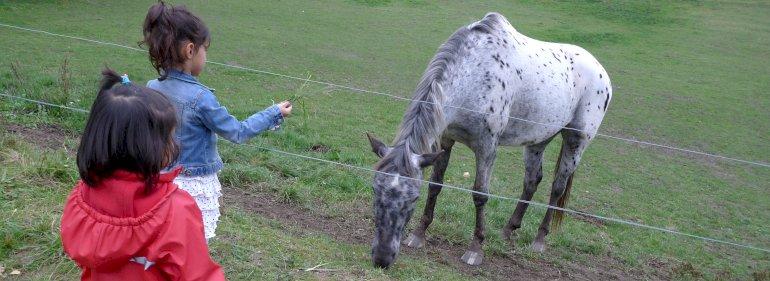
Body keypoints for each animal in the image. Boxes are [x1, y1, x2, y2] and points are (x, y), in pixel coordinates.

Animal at [366, 12, 612, 266]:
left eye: (413, 198)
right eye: (375, 190)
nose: (382, 257)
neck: (475, 74)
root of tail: (600, 70)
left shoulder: (487, 147)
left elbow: (480, 194)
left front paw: (475, 249)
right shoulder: (445, 140)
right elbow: (436, 184)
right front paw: (418, 234)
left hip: (575, 141)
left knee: (558, 187)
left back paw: (539, 240)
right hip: (538, 140)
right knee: (532, 180)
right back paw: (508, 230)